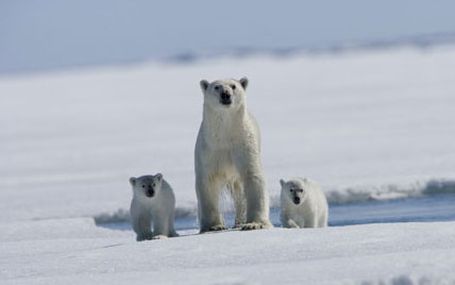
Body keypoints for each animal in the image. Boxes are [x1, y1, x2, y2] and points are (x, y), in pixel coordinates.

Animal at [195, 77, 270, 231]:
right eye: (216, 87)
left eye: (233, 86)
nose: (226, 94)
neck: (225, 134)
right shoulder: (208, 150)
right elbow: (207, 181)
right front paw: (214, 226)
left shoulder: (244, 145)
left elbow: (253, 176)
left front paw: (254, 223)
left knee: (240, 193)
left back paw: (240, 221)